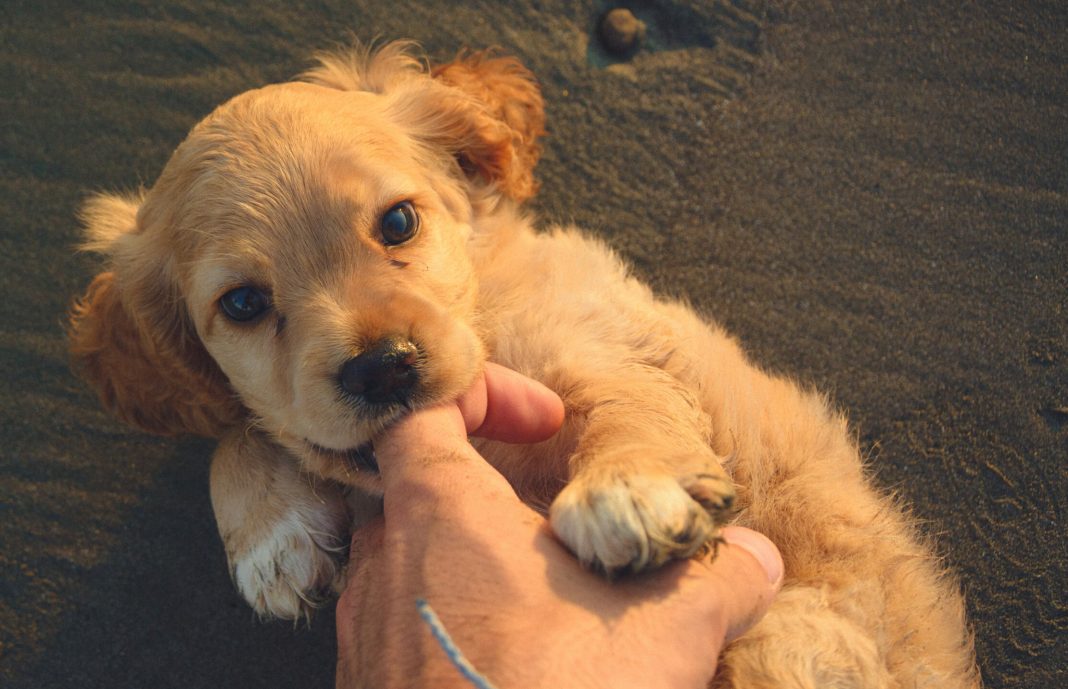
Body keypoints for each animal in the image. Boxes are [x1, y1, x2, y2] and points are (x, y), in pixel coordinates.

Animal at [68, 42, 978, 687]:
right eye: (244, 305)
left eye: (398, 222)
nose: (383, 367)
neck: (483, 305)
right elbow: (241, 432)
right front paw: (269, 529)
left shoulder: (605, 338)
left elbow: (622, 399)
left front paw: (627, 490)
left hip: (793, 636)